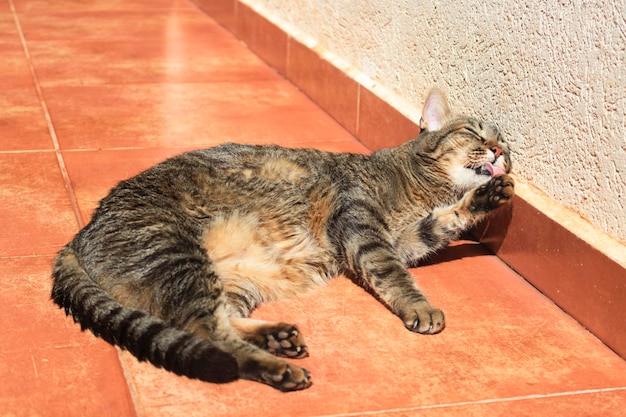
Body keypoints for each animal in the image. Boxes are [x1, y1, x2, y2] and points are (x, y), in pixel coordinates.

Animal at [52, 88, 512, 390]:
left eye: (504, 141)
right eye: (475, 133)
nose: (500, 151)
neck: (415, 185)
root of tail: (78, 236)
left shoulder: (405, 238)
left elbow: (444, 223)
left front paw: (488, 196)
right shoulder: (362, 227)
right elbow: (393, 274)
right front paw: (420, 307)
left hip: (233, 278)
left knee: (221, 319)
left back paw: (276, 339)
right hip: (176, 253)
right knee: (205, 330)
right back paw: (277, 367)